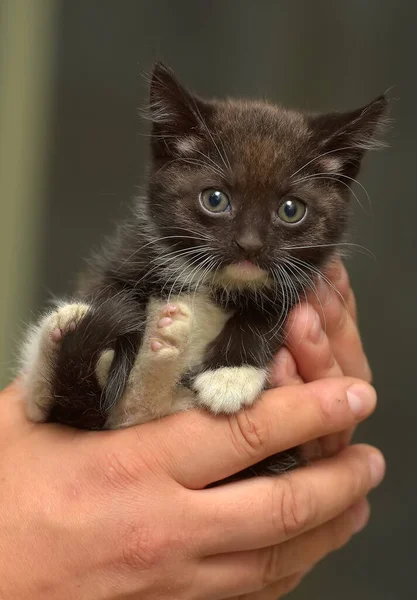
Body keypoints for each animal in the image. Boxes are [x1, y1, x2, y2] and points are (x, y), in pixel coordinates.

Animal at [20, 64, 386, 478]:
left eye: (291, 209)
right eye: (214, 199)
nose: (249, 245)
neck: (214, 282)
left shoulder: (308, 278)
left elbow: (272, 308)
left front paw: (230, 375)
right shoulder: (128, 252)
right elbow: (107, 297)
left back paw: (163, 343)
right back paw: (64, 336)